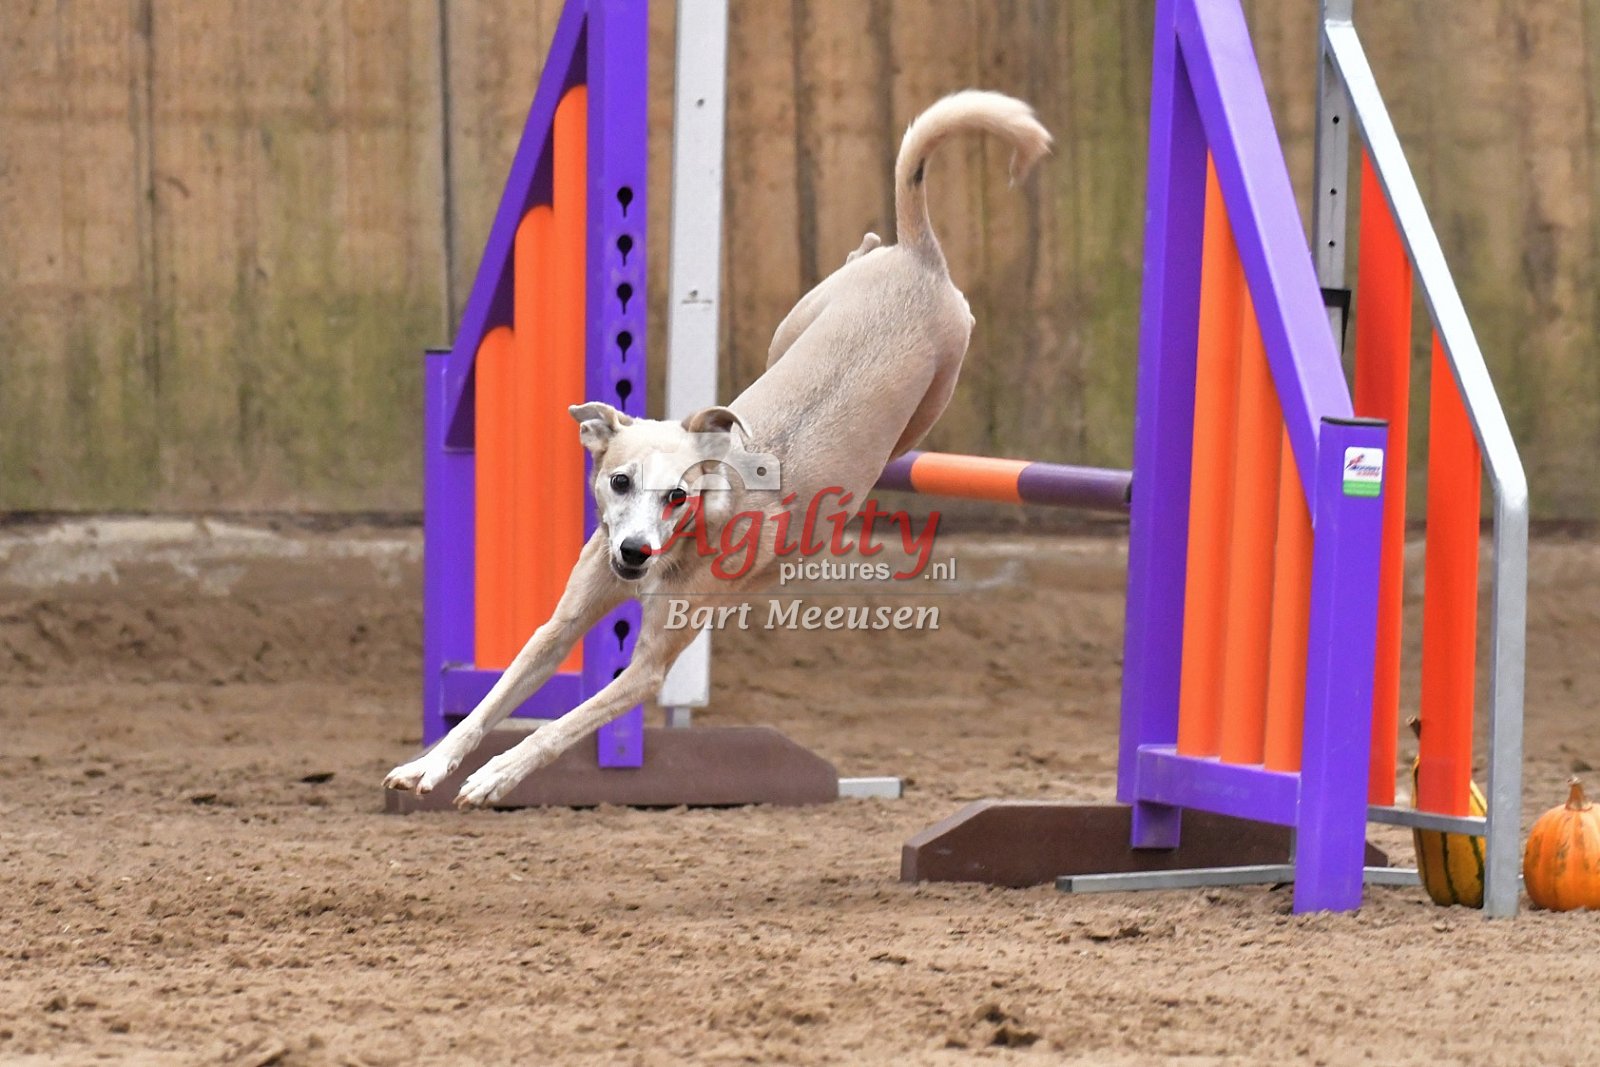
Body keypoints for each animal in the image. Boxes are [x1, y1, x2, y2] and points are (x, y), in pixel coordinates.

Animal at [384, 90, 1051, 808]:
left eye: (678, 494)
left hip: (932, 394)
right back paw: (864, 245)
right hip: (795, 326)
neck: (692, 532)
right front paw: (428, 765)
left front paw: (495, 776)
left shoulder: (649, 667)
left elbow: (555, 727)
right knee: (853, 262)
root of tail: (921, 260)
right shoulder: (560, 625)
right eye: (619, 482)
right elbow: (490, 701)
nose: (634, 551)